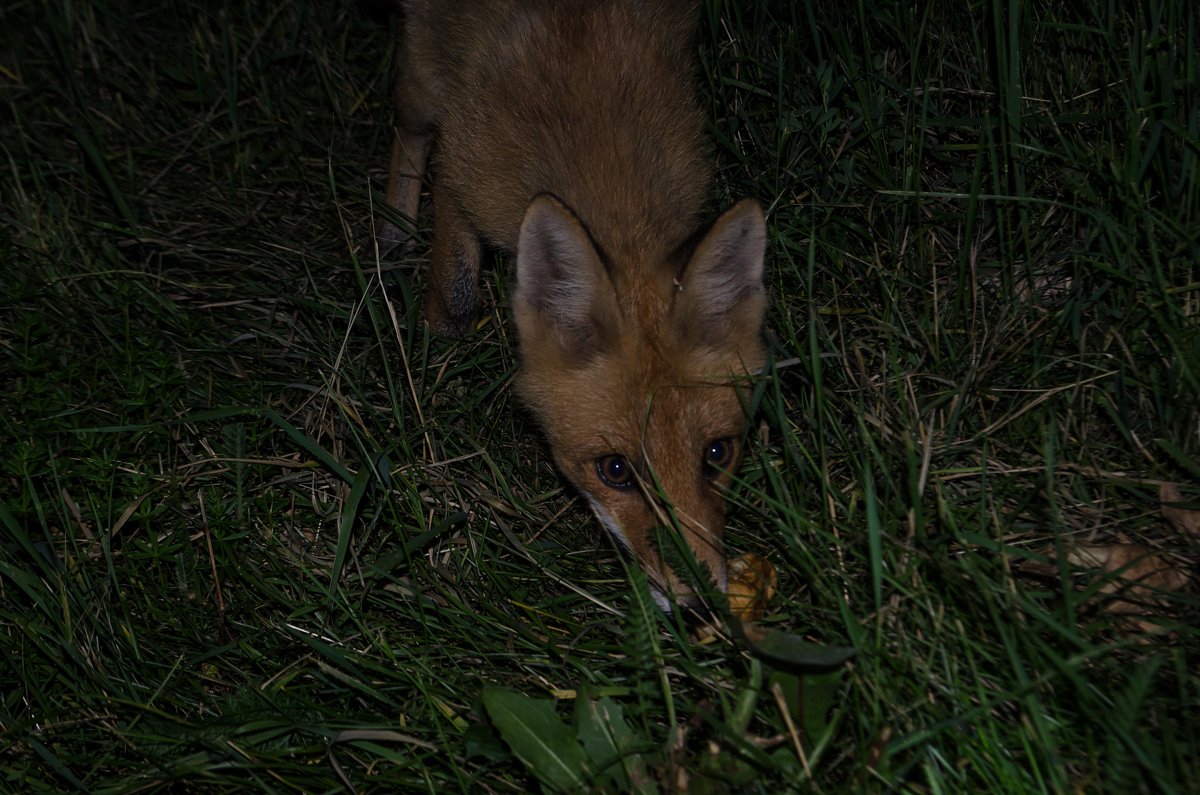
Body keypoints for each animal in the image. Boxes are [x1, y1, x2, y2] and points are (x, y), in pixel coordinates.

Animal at [379, 0, 763, 610]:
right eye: (615, 470)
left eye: (717, 454)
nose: (699, 604)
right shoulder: (462, 164)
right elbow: (456, 293)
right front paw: (434, 373)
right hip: (420, 64)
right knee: (408, 127)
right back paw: (393, 232)